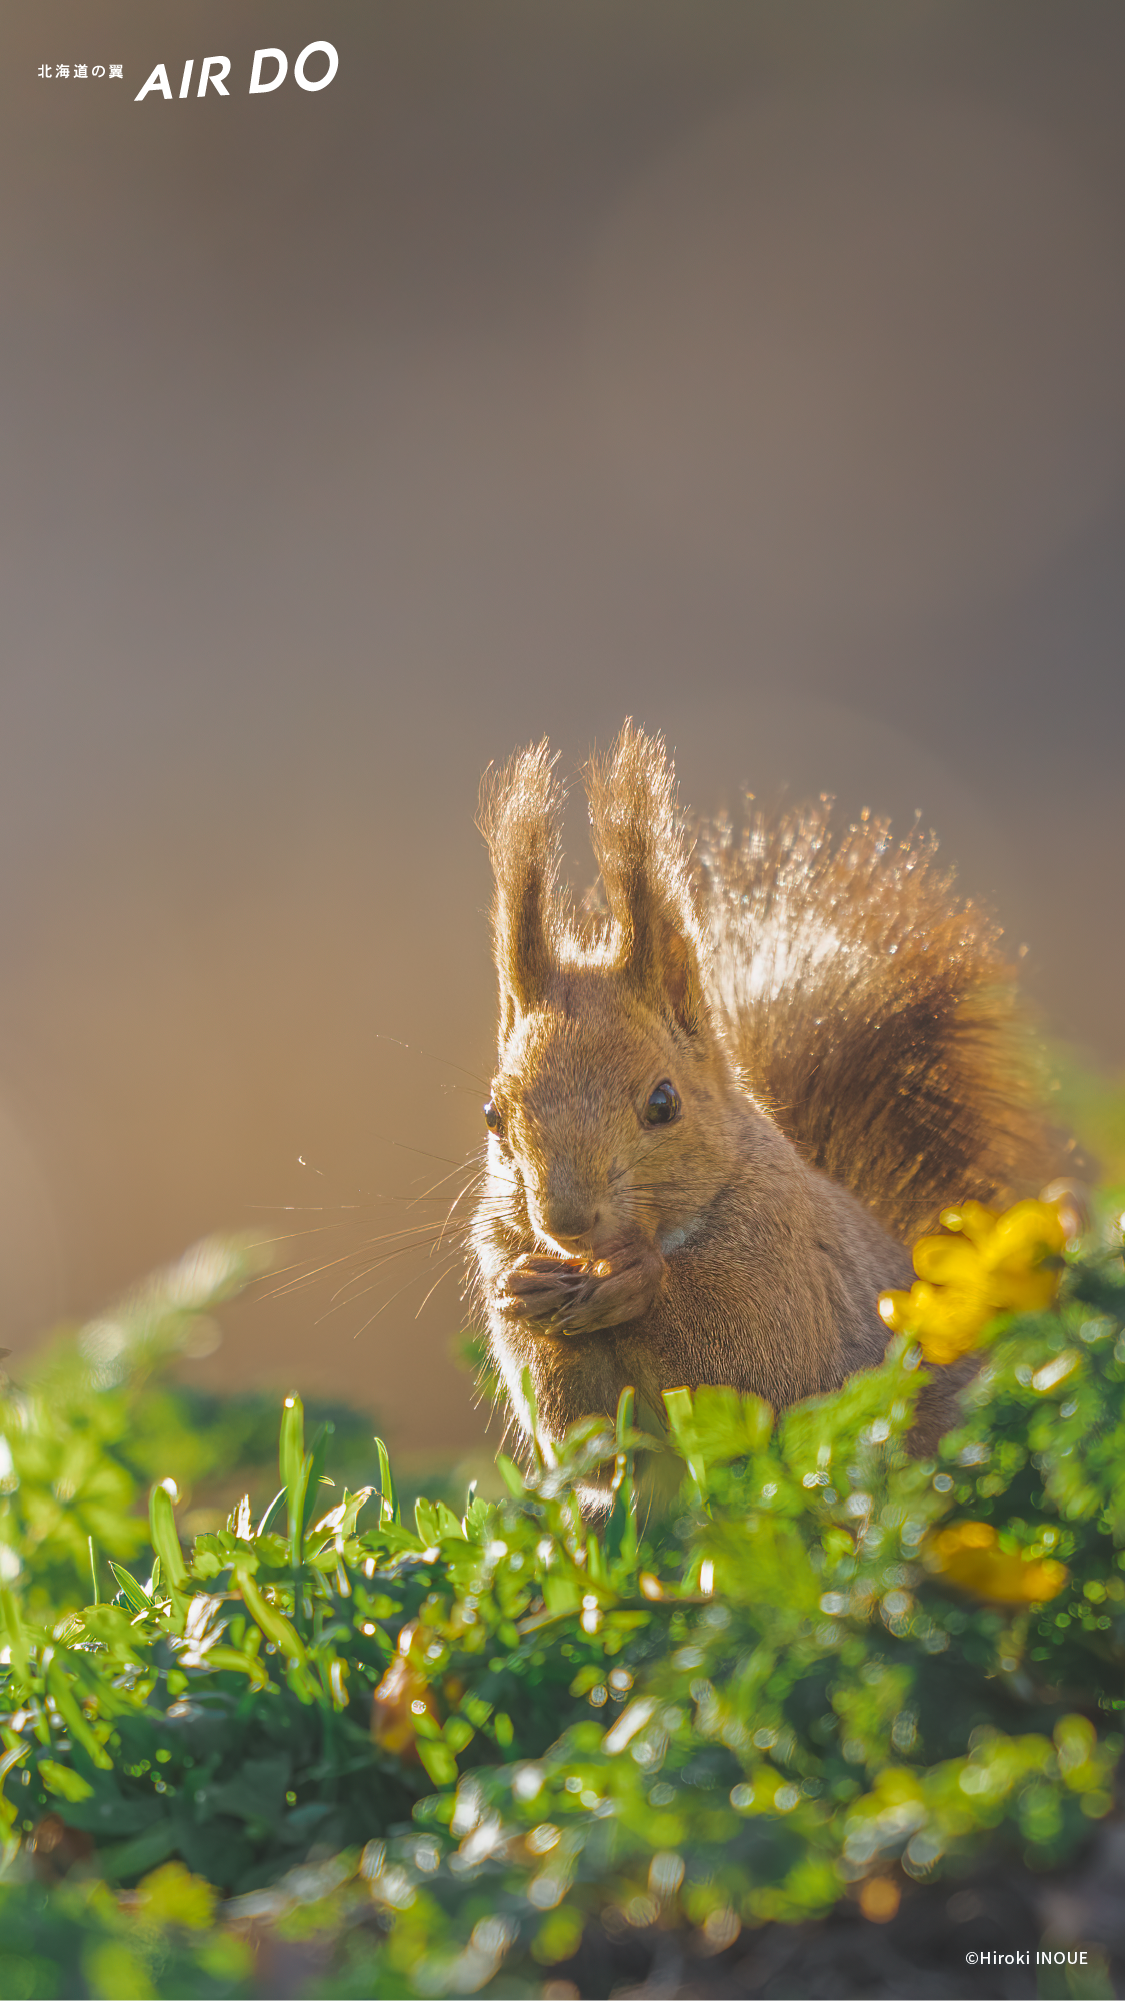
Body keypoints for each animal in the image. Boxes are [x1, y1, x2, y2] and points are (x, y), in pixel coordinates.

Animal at [466, 720, 1048, 1472]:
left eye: (663, 1103)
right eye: (493, 1115)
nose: (566, 1222)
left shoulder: (781, 1263)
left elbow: (751, 1366)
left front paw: (640, 1278)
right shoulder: (497, 1246)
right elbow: (579, 1430)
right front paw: (528, 1290)